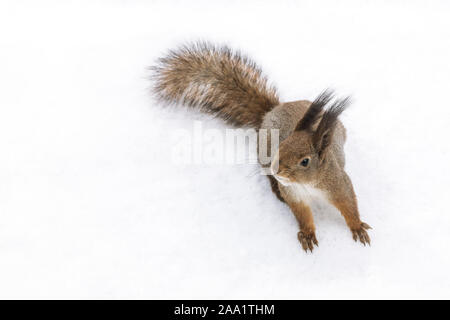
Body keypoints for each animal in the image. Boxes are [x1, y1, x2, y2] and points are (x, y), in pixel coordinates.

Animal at [151, 42, 370, 252]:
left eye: (305, 161)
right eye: (281, 144)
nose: (276, 168)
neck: (307, 185)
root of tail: (271, 111)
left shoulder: (338, 184)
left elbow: (349, 205)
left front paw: (358, 226)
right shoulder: (293, 195)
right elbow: (303, 215)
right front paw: (307, 234)